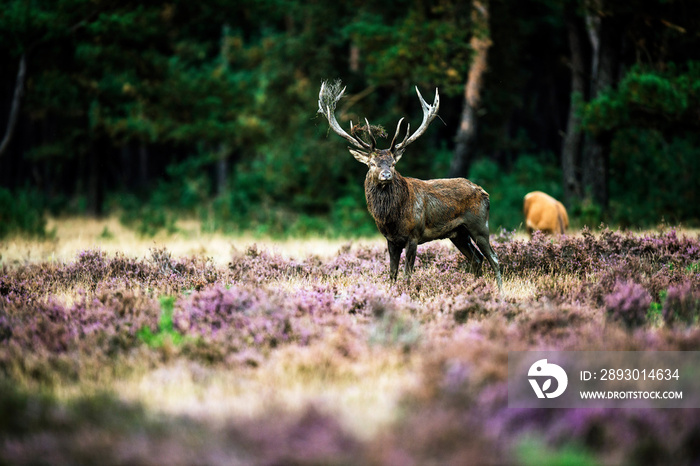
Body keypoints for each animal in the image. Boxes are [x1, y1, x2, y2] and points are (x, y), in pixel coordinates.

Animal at [318, 82, 504, 290]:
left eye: (393, 163)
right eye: (372, 163)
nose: (386, 175)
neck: (392, 218)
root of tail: (485, 193)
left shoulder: (414, 236)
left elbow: (407, 274)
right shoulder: (391, 240)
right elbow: (392, 274)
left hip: (479, 225)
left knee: (494, 258)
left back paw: (499, 292)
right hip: (458, 233)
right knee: (477, 259)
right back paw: (474, 287)